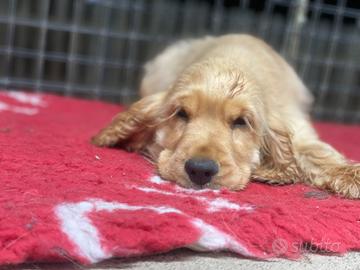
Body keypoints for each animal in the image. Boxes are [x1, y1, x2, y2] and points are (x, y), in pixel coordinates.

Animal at [93, 34, 360, 198]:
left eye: (241, 122)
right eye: (181, 114)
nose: (200, 170)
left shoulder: (295, 123)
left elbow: (315, 151)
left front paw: (351, 177)